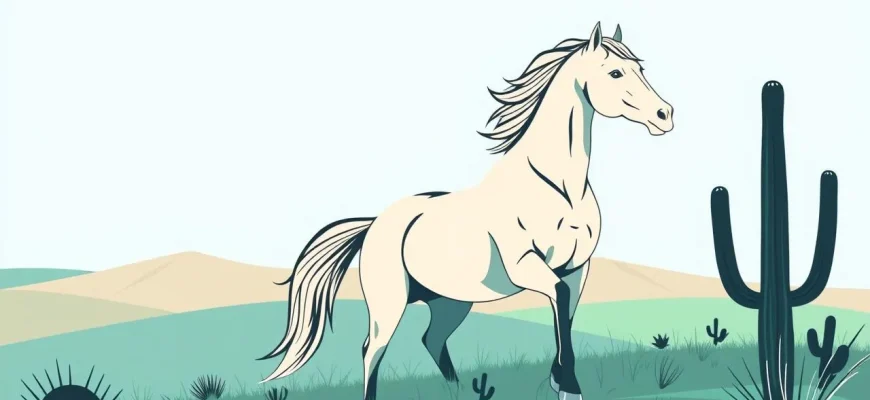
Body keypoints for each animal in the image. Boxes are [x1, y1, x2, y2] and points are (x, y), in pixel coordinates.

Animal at [259, 22, 674, 400]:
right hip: (389, 303)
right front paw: (565, 382)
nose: (665, 115)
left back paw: (459, 389)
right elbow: (557, 301)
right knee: (372, 350)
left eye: (640, 69)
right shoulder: (528, 266)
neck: (559, 189)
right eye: (616, 72)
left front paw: (565, 384)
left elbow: (565, 318)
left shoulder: (576, 269)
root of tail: (374, 223)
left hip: (450, 303)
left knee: (431, 339)